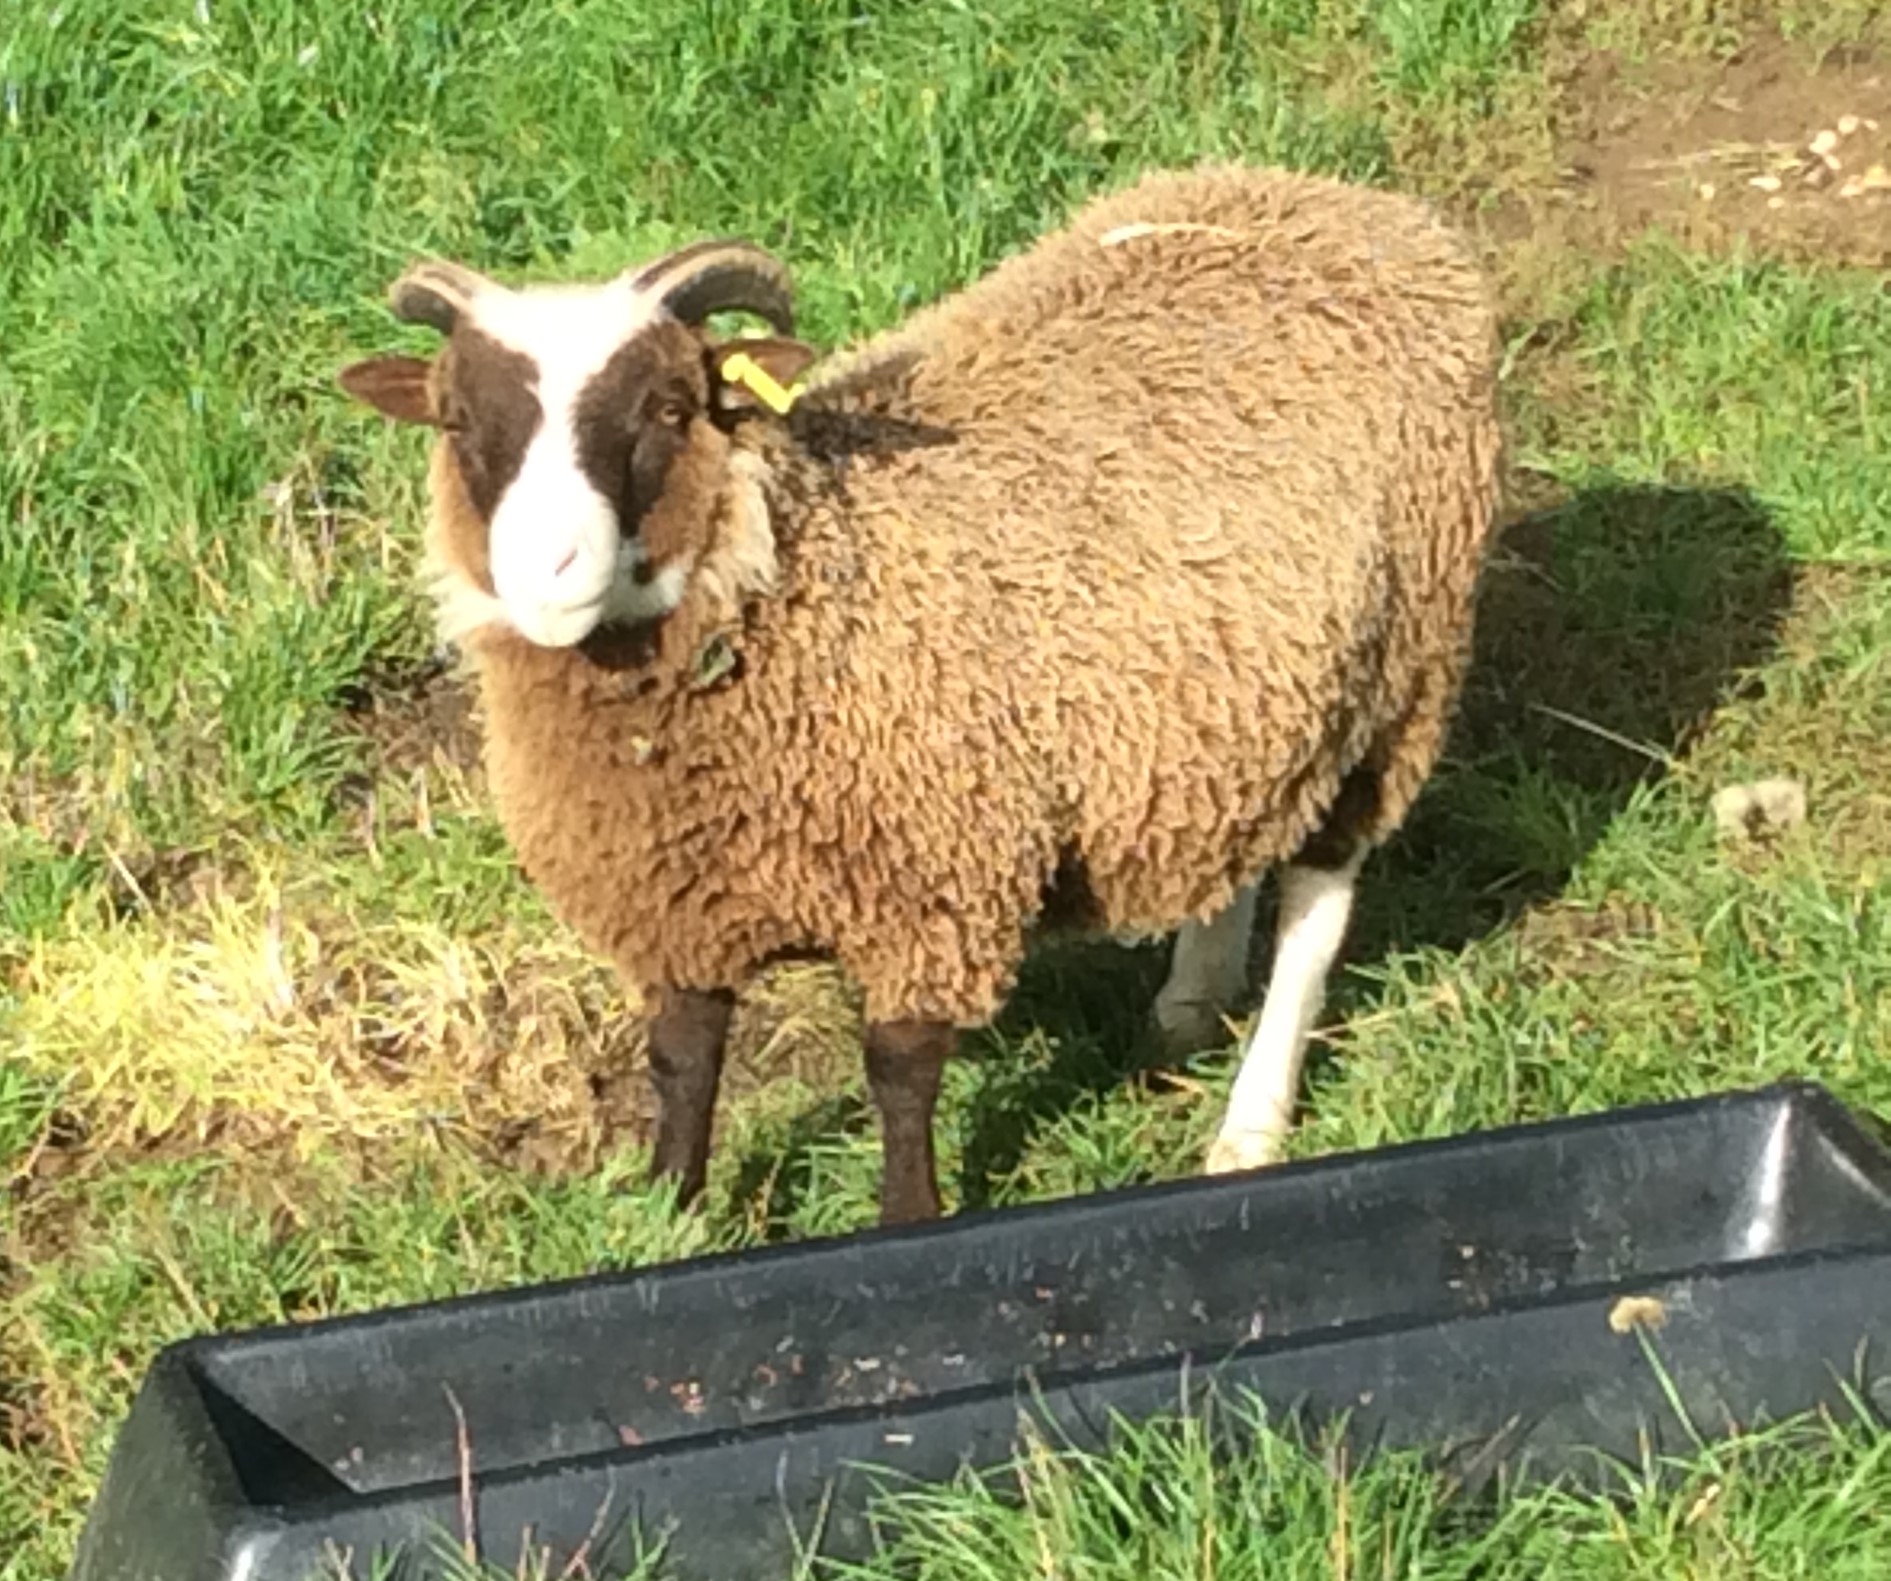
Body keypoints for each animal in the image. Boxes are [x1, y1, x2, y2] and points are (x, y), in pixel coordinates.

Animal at [337, 162, 1503, 1226]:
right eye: (454, 420)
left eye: (670, 406)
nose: (548, 570)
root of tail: (1355, 203)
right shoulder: (673, 893)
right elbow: (683, 1054)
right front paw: (672, 1210)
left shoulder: (931, 883)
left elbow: (898, 1073)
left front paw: (908, 1215)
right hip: (1236, 689)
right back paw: (1188, 999)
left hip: (1402, 670)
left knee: (1318, 901)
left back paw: (1250, 1123)